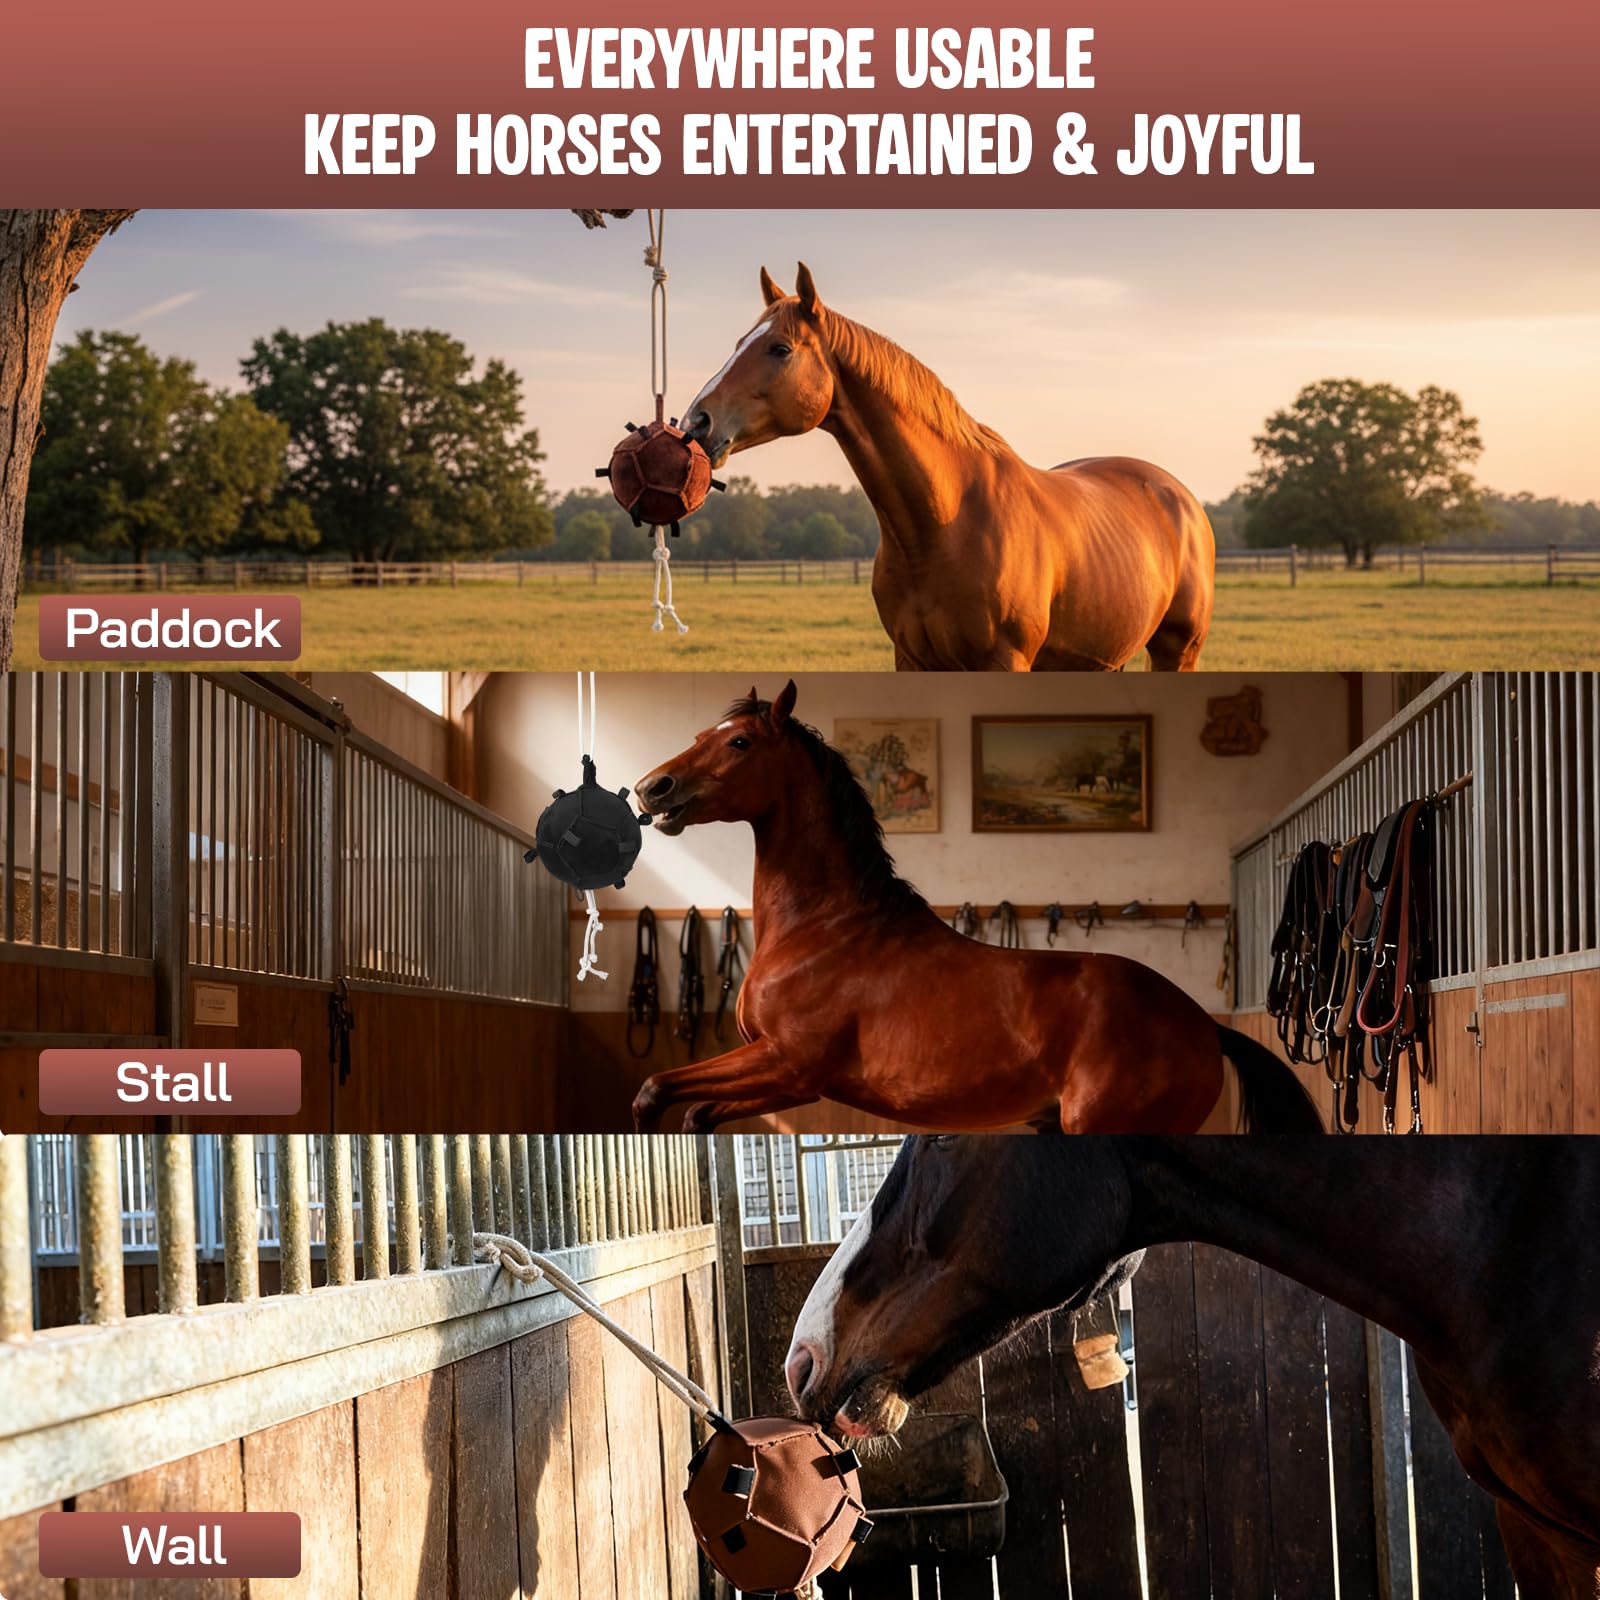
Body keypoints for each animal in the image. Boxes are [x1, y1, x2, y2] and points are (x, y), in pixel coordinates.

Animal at [630, 680, 1322, 1136]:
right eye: (702, 735)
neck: (825, 930)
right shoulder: (790, 1083)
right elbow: (694, 1113)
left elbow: (655, 1091)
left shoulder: (787, 1066)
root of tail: (1205, 1027)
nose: (650, 788)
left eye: (741, 743)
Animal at [681, 264, 1216, 672]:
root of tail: (1182, 499)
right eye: (739, 343)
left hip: (1177, 653)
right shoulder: (913, 659)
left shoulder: (1005, 662)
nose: (696, 422)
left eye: (780, 349)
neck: (942, 525)